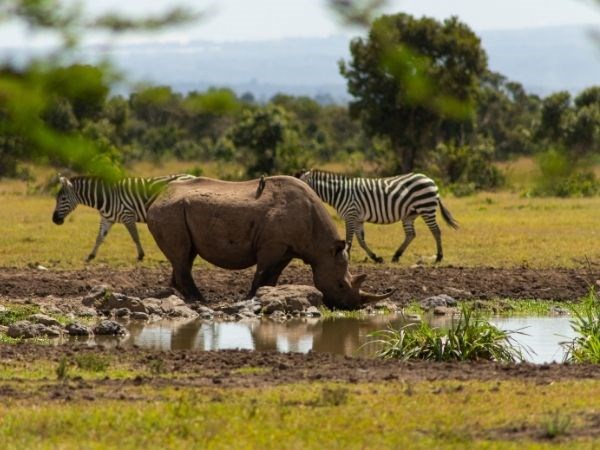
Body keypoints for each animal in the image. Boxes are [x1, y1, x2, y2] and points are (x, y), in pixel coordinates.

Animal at [52, 174, 195, 262]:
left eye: (63, 199)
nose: (54, 220)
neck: (106, 197)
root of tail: (191, 176)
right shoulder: (107, 219)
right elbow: (99, 238)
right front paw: (91, 256)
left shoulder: (128, 216)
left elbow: (135, 236)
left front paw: (140, 256)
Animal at [296, 169, 460, 264]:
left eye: (301, 186)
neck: (338, 193)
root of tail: (430, 179)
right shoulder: (358, 219)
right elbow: (361, 240)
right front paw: (375, 257)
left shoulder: (351, 214)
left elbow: (349, 238)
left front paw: (346, 256)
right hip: (410, 214)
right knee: (411, 234)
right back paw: (396, 256)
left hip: (426, 207)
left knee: (436, 231)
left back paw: (439, 257)